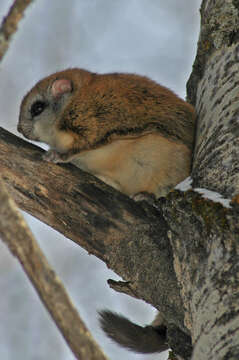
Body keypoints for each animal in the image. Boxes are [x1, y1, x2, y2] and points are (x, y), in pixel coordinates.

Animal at [17, 68, 195, 354]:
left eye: (37, 107)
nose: (20, 129)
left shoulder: (93, 118)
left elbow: (83, 145)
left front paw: (57, 156)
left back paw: (148, 197)